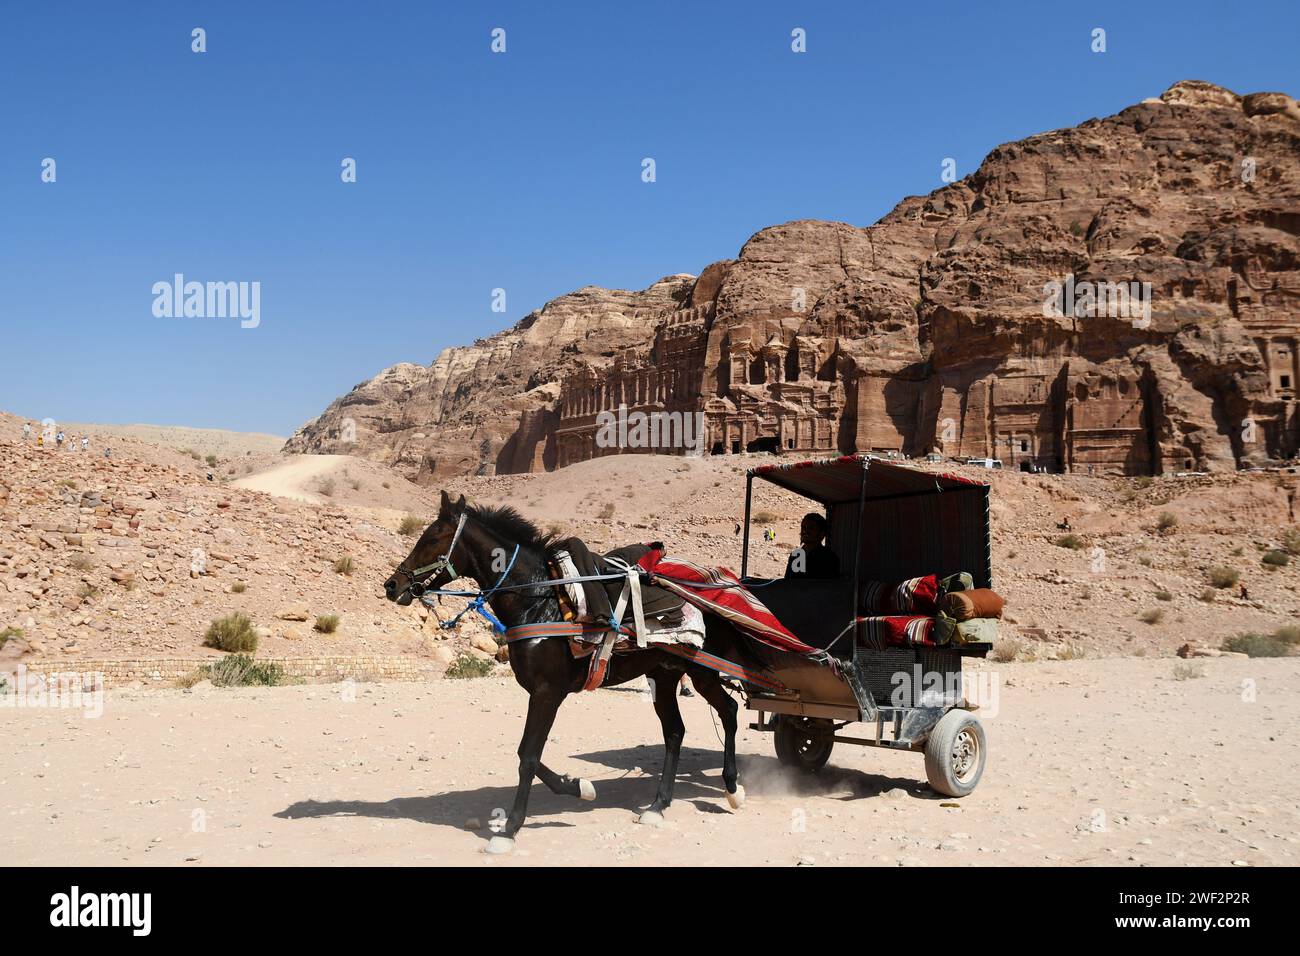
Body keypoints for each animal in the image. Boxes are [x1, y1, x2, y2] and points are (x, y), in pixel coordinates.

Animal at [379, 494, 759, 853]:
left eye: (432, 538)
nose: (392, 585)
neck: (538, 599)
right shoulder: (541, 692)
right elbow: (530, 756)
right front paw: (578, 786)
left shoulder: (548, 691)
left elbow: (528, 756)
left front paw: (510, 830)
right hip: (664, 675)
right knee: (676, 732)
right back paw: (658, 805)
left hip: (702, 671)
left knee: (728, 711)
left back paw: (732, 788)